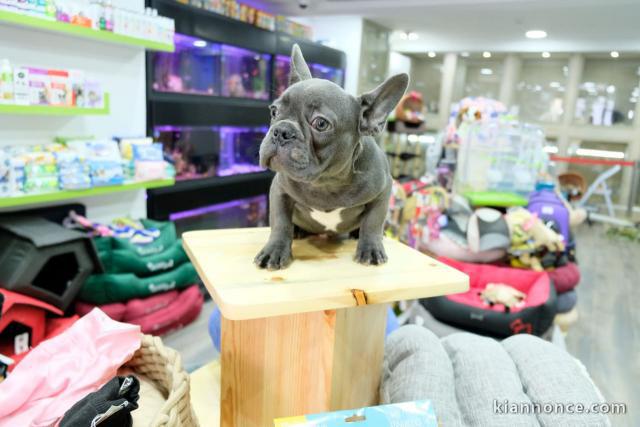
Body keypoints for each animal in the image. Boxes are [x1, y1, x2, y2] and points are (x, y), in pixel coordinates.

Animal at [254, 44, 408, 270]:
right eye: (274, 111)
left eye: (320, 123)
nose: (281, 131)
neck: (326, 182)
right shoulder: (279, 190)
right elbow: (280, 222)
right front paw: (275, 250)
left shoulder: (384, 189)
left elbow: (373, 222)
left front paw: (370, 248)